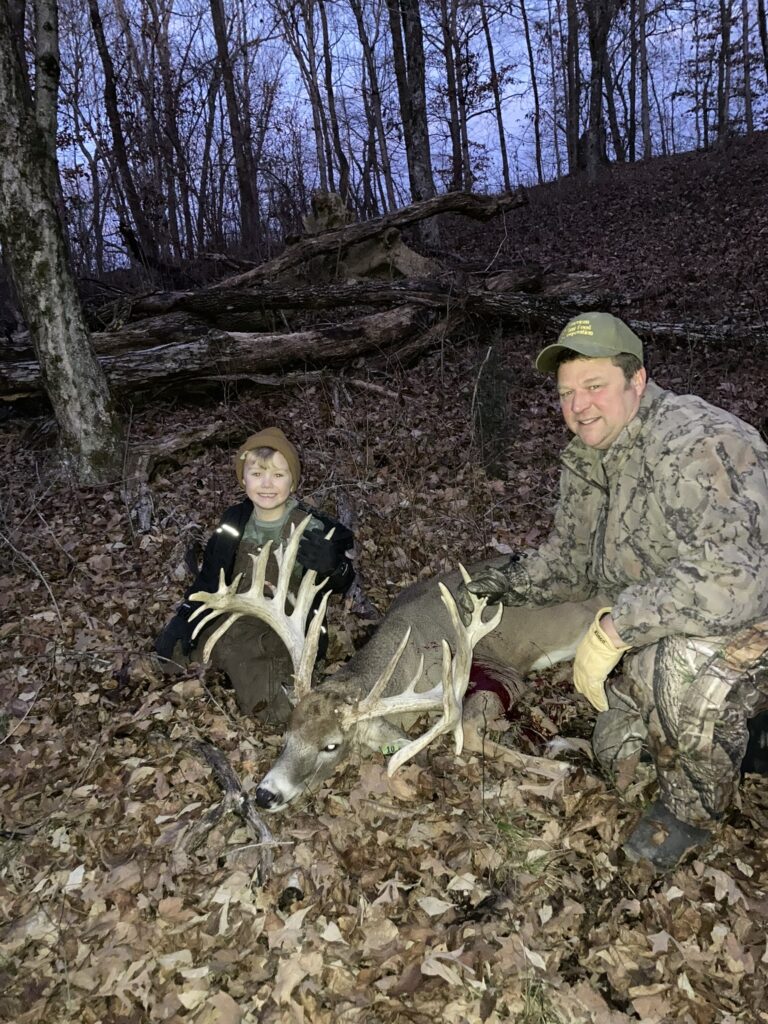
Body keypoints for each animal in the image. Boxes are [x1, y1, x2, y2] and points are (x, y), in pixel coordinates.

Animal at [188, 516, 607, 812]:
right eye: (288, 735)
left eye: (331, 746)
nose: (265, 795)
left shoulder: (496, 670)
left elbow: (469, 732)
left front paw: (564, 767)